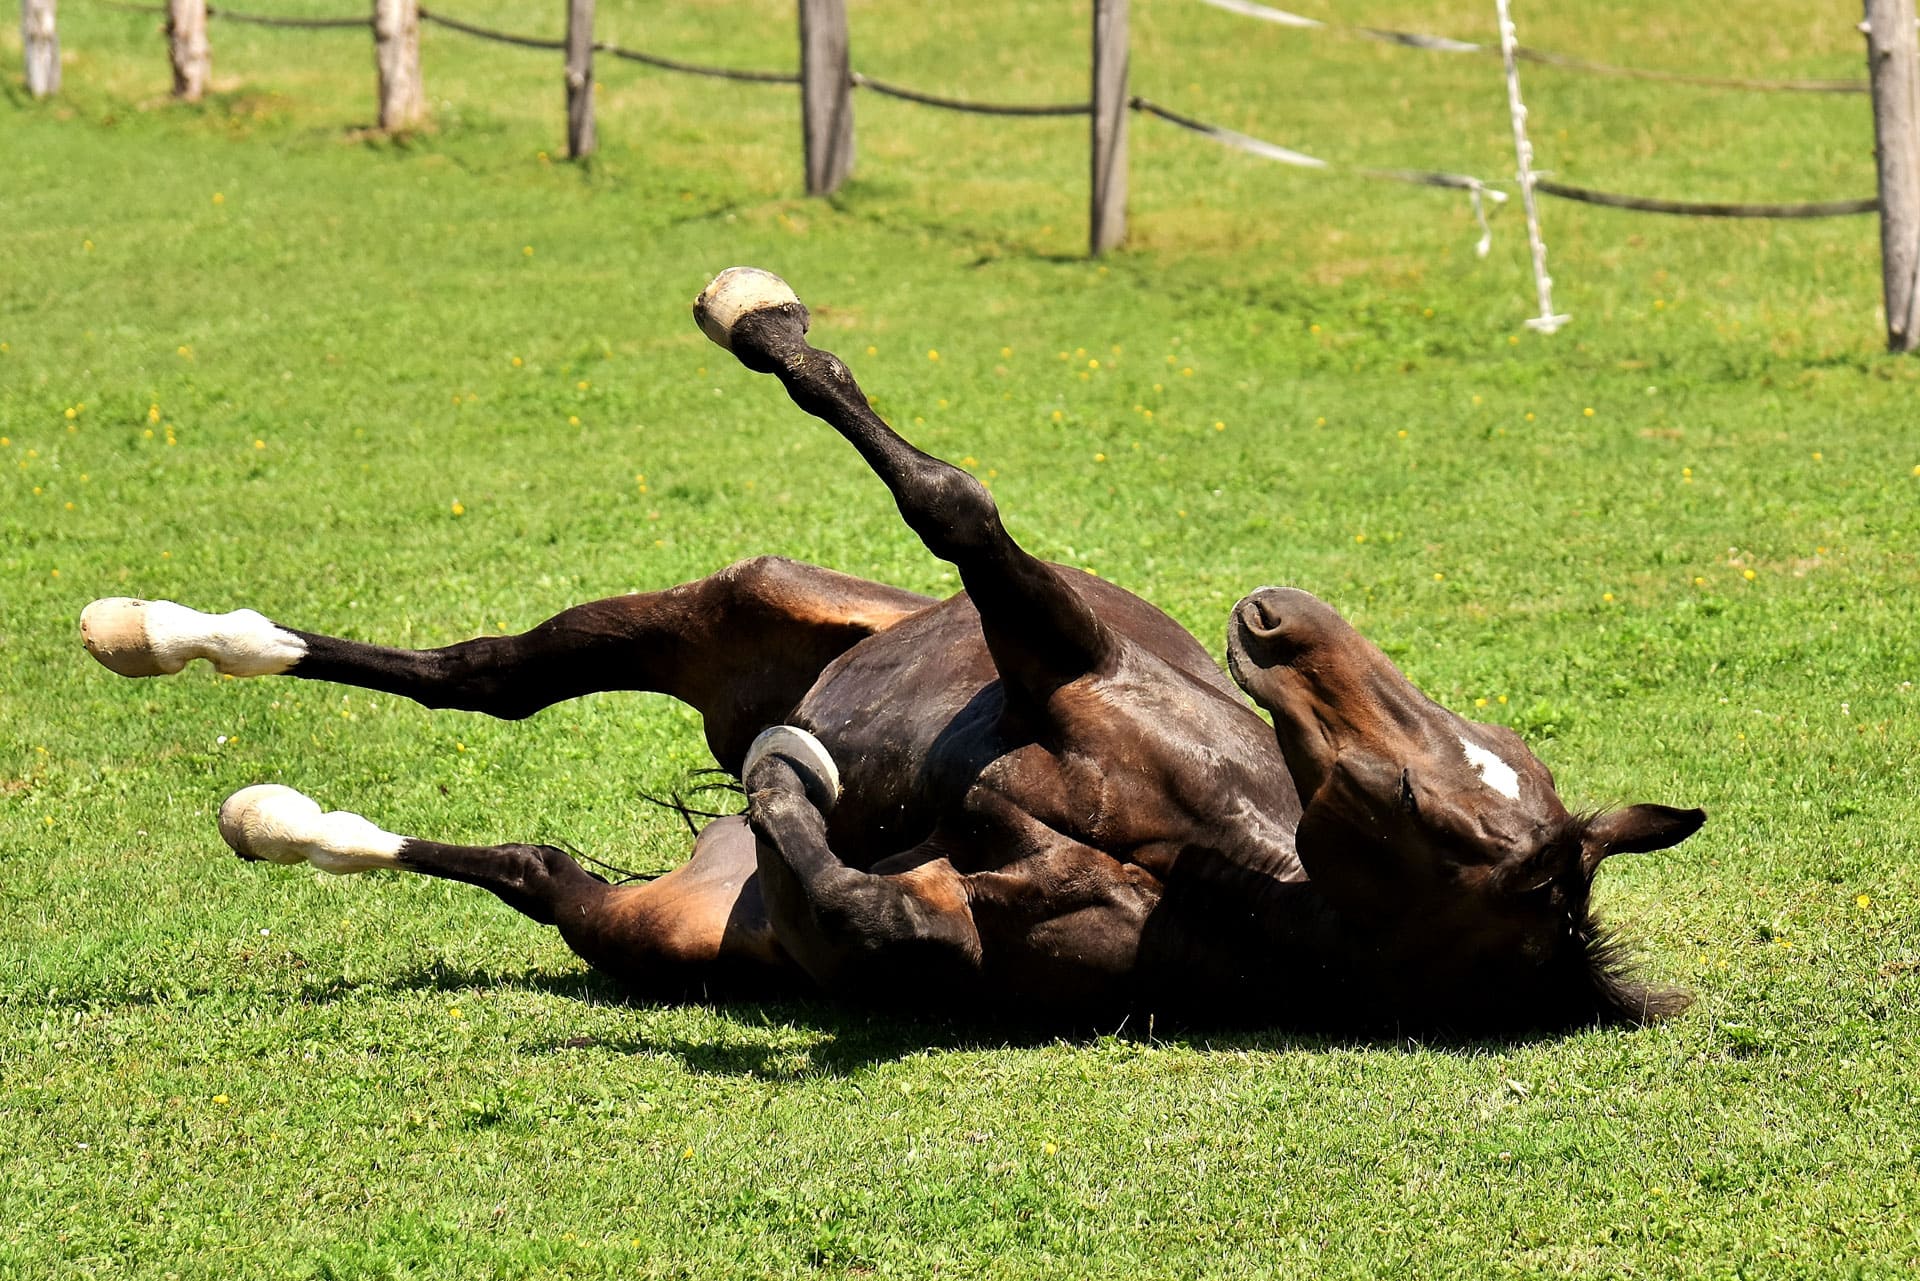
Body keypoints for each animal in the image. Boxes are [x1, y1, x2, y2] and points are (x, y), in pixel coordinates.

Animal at [82, 268, 1704, 1029]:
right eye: (1473, 750)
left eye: (1406, 801)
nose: (1276, 615)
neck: (1203, 853)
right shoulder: (1055, 648)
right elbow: (958, 501)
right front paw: (767, 322)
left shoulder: (962, 934)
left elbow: (883, 916)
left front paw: (809, 791)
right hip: (738, 600)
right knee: (488, 676)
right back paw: (158, 633)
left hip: (651, 925)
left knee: (533, 847)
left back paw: (271, 809)